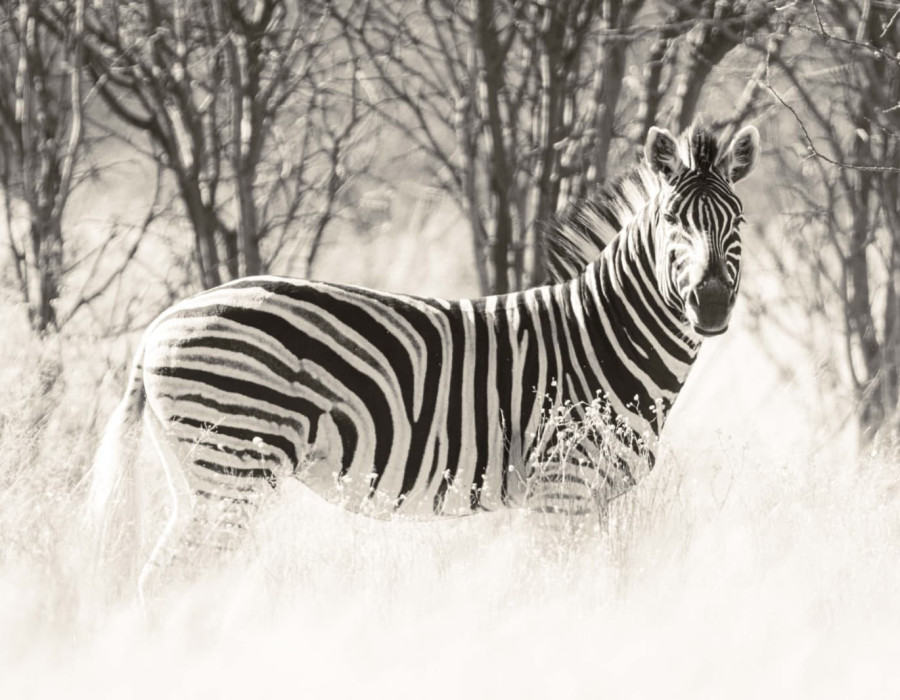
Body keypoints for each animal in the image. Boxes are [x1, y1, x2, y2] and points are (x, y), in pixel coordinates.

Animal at [88, 123, 759, 592]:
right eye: (672, 220)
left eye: (739, 221)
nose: (711, 303)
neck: (604, 337)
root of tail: (157, 328)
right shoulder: (562, 485)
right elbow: (555, 588)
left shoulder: (585, 499)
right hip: (234, 462)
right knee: (170, 578)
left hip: (199, 475)